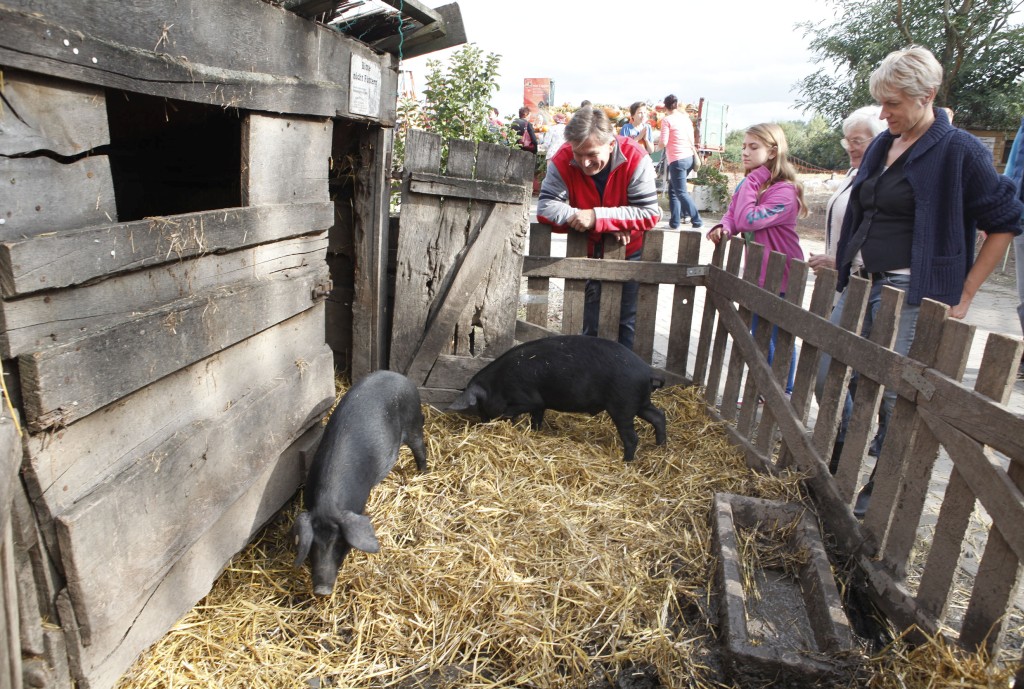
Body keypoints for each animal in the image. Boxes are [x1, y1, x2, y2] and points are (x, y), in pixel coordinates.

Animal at [293, 370, 427, 596]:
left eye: (340, 543)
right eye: (313, 545)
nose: (321, 590)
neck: (328, 500)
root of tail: (398, 375)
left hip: (414, 420)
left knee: (420, 449)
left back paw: (423, 473)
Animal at [448, 335, 667, 462]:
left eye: (480, 405)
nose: (484, 423)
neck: (499, 383)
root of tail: (647, 371)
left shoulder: (528, 398)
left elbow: (516, 410)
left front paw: (510, 421)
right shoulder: (540, 404)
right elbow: (536, 419)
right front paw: (534, 431)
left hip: (622, 405)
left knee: (632, 437)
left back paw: (625, 461)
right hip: (640, 403)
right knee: (659, 416)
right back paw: (661, 446)